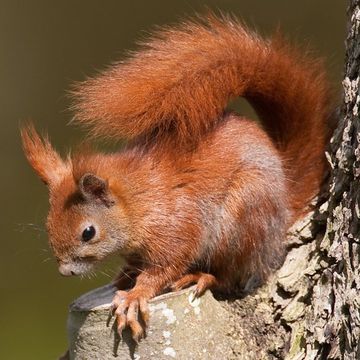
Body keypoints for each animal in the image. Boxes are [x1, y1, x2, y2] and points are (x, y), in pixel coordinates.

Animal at [21, 14, 332, 340]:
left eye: (88, 232)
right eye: (48, 224)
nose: (65, 272)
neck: (138, 199)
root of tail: (284, 203)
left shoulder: (176, 226)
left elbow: (167, 265)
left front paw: (136, 294)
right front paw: (125, 276)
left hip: (243, 220)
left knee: (230, 275)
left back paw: (200, 276)